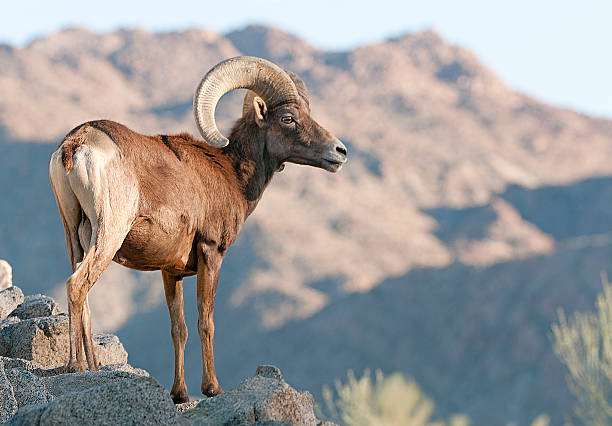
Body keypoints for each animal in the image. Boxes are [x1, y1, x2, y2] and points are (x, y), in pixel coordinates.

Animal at [50, 56, 346, 402]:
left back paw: (93, 367)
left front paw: (179, 393)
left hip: (74, 235)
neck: (230, 173)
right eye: (288, 118)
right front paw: (211, 388)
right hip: (108, 234)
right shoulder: (211, 253)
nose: (339, 152)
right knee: (76, 285)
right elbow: (206, 320)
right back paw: (76, 367)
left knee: (82, 292)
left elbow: (179, 328)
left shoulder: (171, 272)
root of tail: (76, 145)